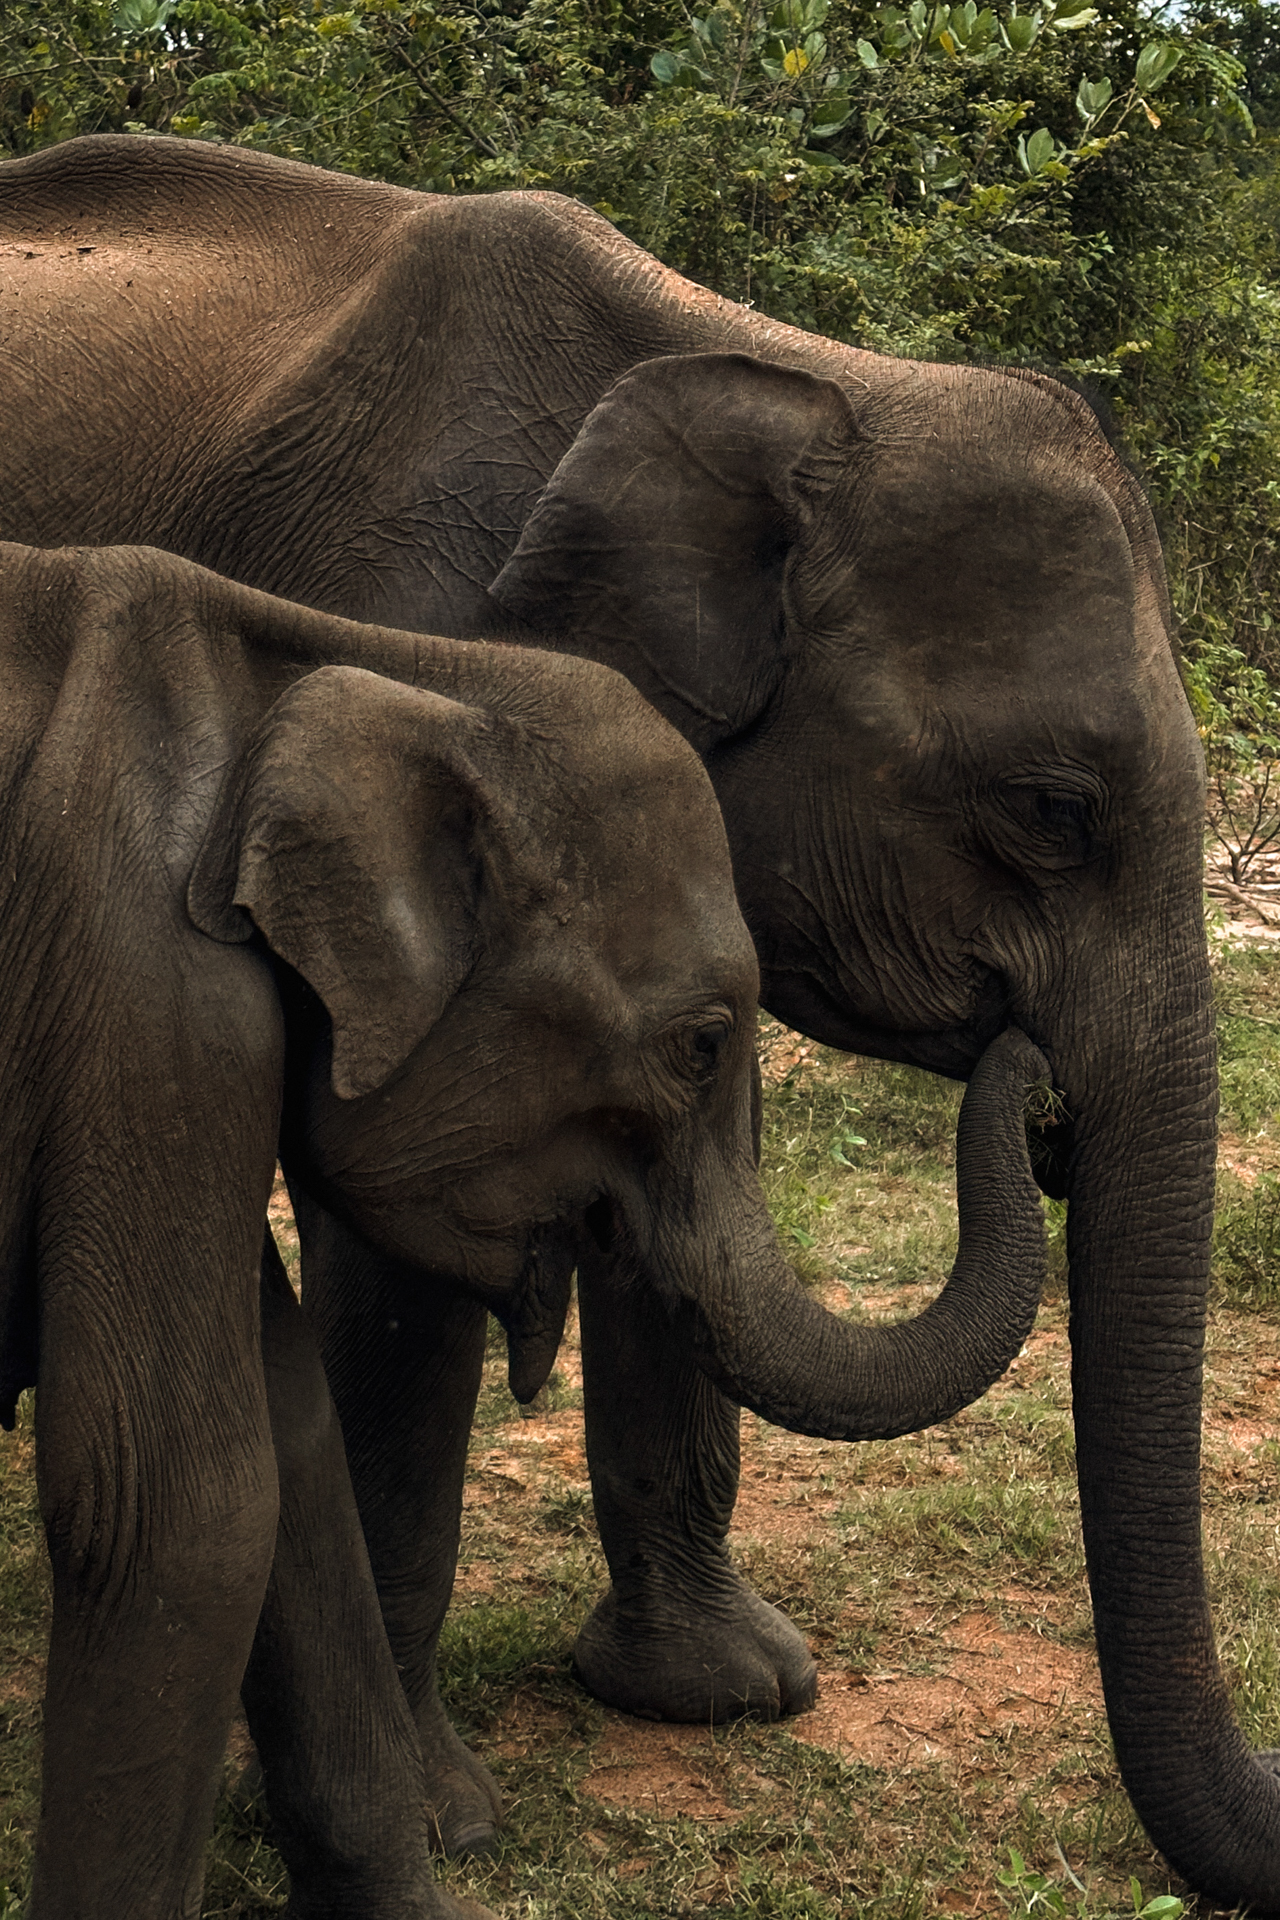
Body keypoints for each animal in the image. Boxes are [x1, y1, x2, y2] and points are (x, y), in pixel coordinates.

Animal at [0, 537, 1051, 1917]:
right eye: (701, 1043)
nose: (1030, 1055)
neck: (367, 668)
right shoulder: (147, 998)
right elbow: (175, 1499)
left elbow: (291, 1437)